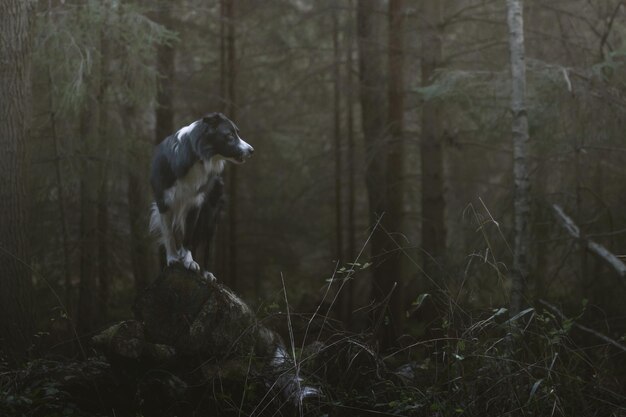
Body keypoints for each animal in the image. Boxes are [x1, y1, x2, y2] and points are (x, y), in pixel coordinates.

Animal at [148, 112, 251, 278]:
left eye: (237, 133)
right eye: (229, 135)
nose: (251, 150)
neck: (197, 157)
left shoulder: (195, 203)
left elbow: (189, 237)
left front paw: (189, 261)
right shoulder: (163, 202)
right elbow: (169, 233)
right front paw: (172, 258)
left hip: (210, 215)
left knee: (206, 243)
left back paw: (207, 273)